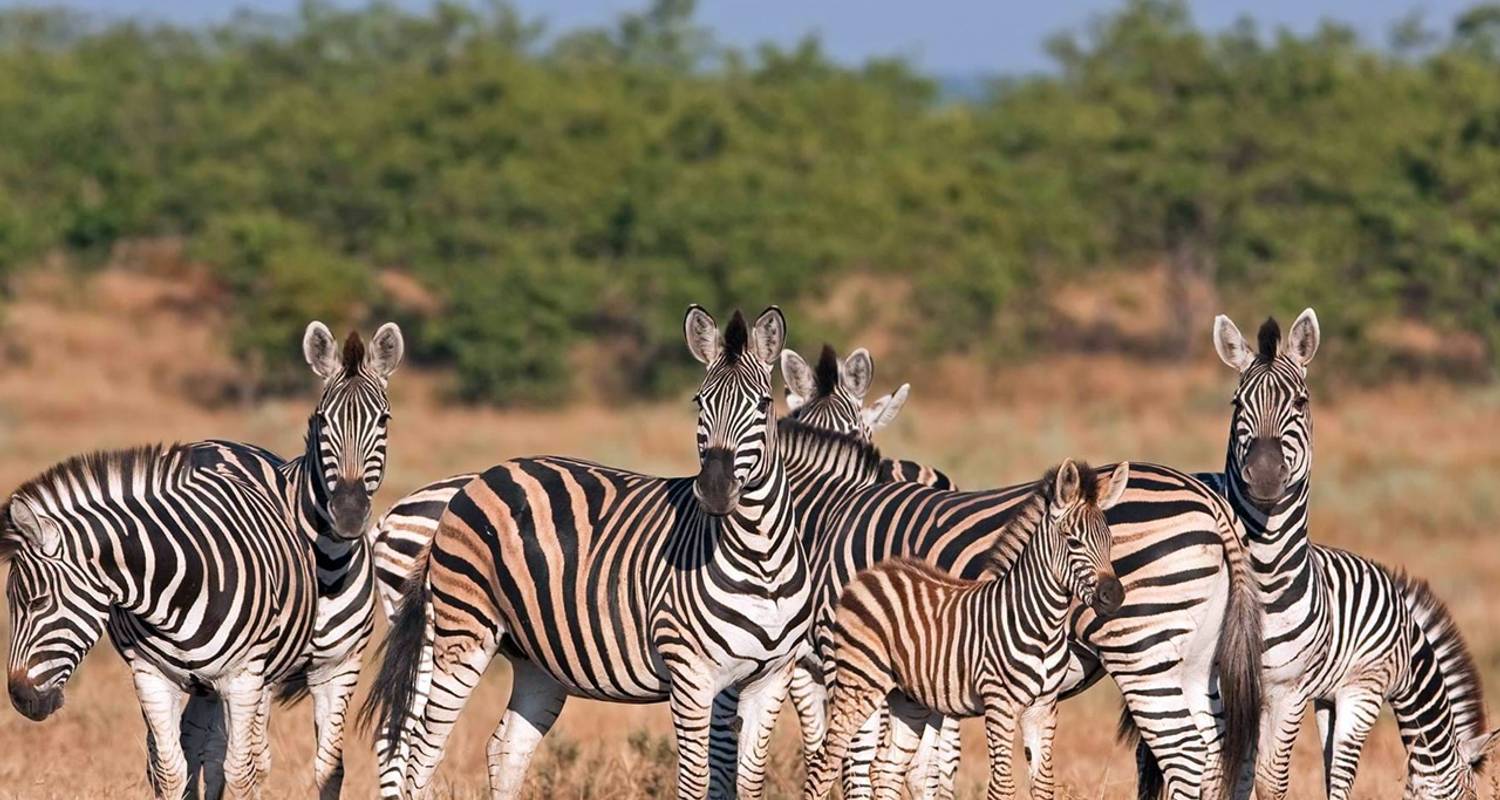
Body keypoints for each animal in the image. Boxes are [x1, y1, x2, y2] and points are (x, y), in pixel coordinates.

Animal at [2, 444, 317, 799]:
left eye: (38, 602)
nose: (19, 698)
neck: (184, 585)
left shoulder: (243, 679)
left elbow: (239, 772)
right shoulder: (150, 676)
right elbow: (170, 770)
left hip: (264, 677)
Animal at [360, 306, 812, 800]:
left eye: (763, 404)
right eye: (700, 402)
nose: (714, 491)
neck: (761, 559)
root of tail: (483, 476)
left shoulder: (771, 678)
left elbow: (748, 781)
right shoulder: (692, 674)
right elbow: (696, 780)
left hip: (536, 657)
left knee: (506, 747)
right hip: (462, 631)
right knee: (423, 750)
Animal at [804, 459, 1129, 800]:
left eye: (1110, 541)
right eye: (1074, 542)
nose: (1114, 595)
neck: (1043, 627)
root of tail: (872, 573)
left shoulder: (1042, 707)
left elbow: (1043, 786)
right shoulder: (999, 703)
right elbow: (1002, 786)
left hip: (906, 697)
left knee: (885, 767)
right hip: (859, 679)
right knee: (825, 762)